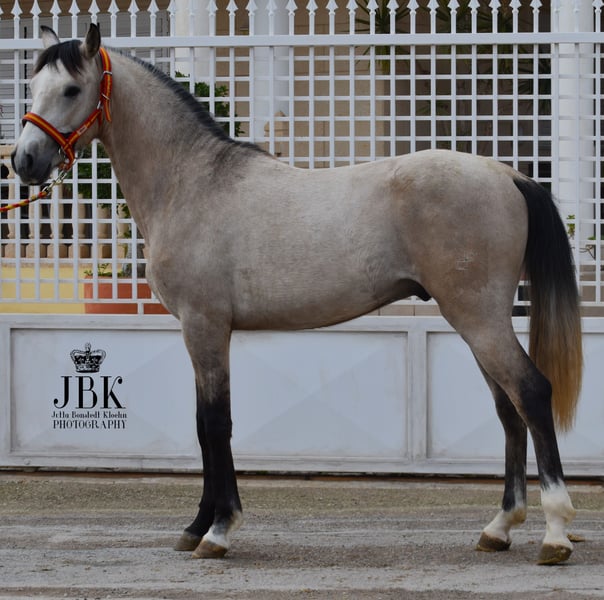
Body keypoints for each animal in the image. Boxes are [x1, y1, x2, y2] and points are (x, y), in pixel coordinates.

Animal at [11, 25, 583, 566]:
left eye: (71, 88)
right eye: (32, 86)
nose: (23, 161)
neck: (193, 183)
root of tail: (507, 174)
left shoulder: (204, 326)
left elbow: (215, 423)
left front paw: (219, 530)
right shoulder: (198, 333)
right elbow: (201, 425)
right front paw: (196, 526)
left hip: (480, 318)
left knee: (532, 393)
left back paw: (555, 534)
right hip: (477, 320)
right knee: (509, 409)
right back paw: (499, 527)